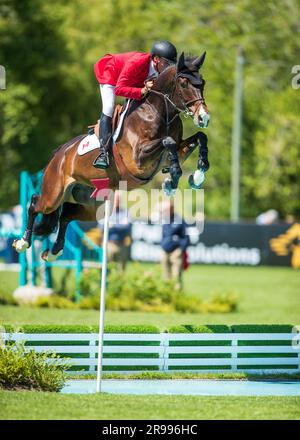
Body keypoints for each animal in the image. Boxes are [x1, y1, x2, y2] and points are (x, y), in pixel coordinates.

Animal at [12, 50, 211, 262]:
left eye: (202, 82)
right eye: (184, 83)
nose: (204, 117)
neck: (160, 112)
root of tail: (59, 153)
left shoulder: (177, 150)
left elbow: (199, 137)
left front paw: (197, 175)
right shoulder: (138, 158)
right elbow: (168, 141)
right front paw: (171, 180)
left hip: (91, 203)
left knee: (66, 215)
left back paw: (53, 251)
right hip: (54, 194)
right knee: (35, 203)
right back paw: (23, 242)